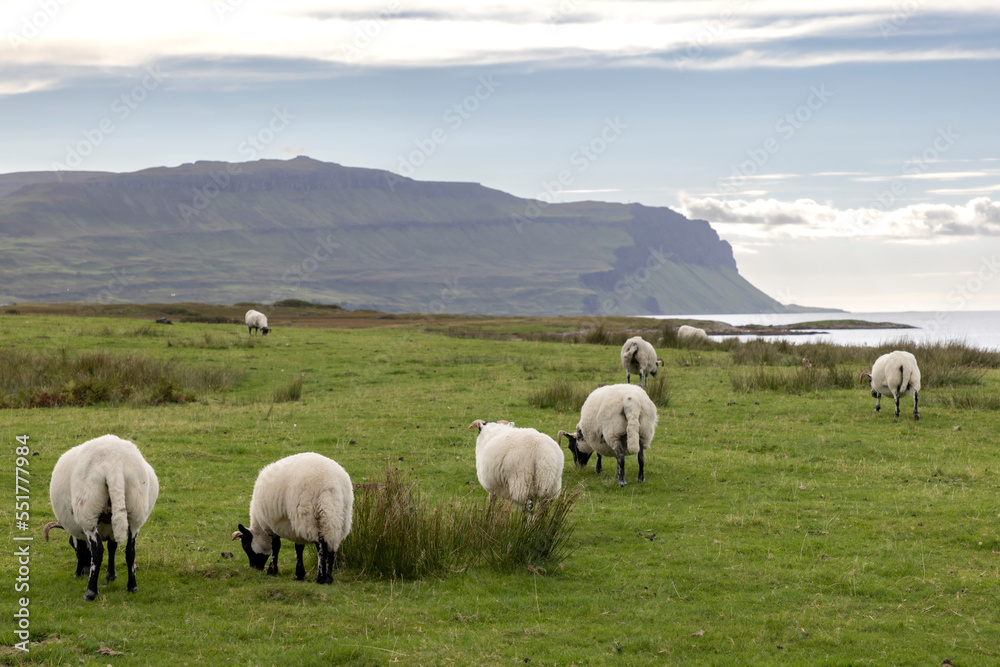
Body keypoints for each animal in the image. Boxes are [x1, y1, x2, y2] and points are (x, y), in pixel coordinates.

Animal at [44, 436, 158, 604]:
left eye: (71, 544)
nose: (82, 573)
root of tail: (114, 465)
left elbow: (91, 550)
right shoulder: (111, 527)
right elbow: (113, 547)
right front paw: (111, 576)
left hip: (88, 511)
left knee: (98, 551)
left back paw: (90, 592)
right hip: (136, 512)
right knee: (130, 551)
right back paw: (132, 587)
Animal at [230, 454, 352, 584]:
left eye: (246, 546)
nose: (254, 568)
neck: (260, 528)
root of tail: (330, 484)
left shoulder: (272, 526)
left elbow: (276, 546)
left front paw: (273, 570)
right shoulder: (295, 528)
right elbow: (299, 547)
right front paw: (299, 574)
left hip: (308, 516)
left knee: (321, 545)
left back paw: (320, 577)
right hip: (338, 516)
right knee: (332, 544)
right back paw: (328, 578)